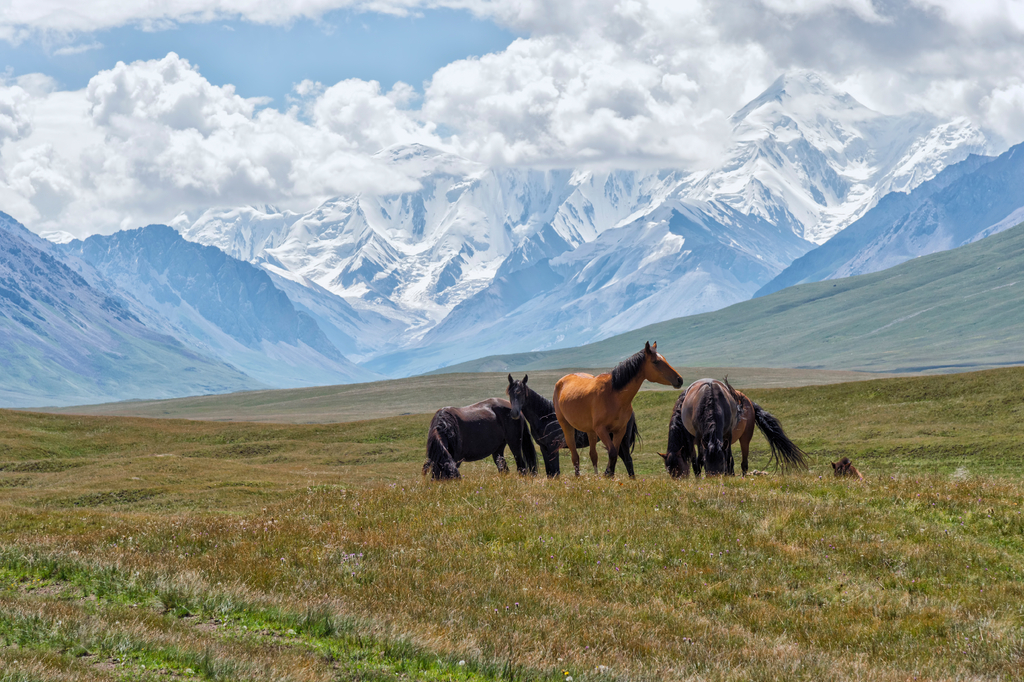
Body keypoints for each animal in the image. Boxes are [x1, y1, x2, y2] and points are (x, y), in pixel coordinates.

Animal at [506, 374, 638, 478]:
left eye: (521, 393)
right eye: (510, 393)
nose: (514, 413)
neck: (545, 416)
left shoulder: (553, 449)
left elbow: (555, 472)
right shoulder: (544, 448)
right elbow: (550, 473)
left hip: (622, 440)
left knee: (628, 460)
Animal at [554, 341, 683, 477]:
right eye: (656, 362)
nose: (679, 379)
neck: (613, 395)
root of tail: (561, 381)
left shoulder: (619, 430)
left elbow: (614, 456)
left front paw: (610, 476)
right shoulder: (601, 430)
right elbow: (612, 453)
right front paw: (608, 476)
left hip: (590, 431)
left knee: (593, 455)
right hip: (567, 426)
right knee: (575, 456)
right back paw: (578, 477)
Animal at [661, 378, 806, 477]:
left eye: (678, 468)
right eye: (669, 471)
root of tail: (748, 400)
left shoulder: (726, 435)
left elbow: (727, 458)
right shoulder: (697, 439)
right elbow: (698, 461)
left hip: (745, 438)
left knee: (744, 462)